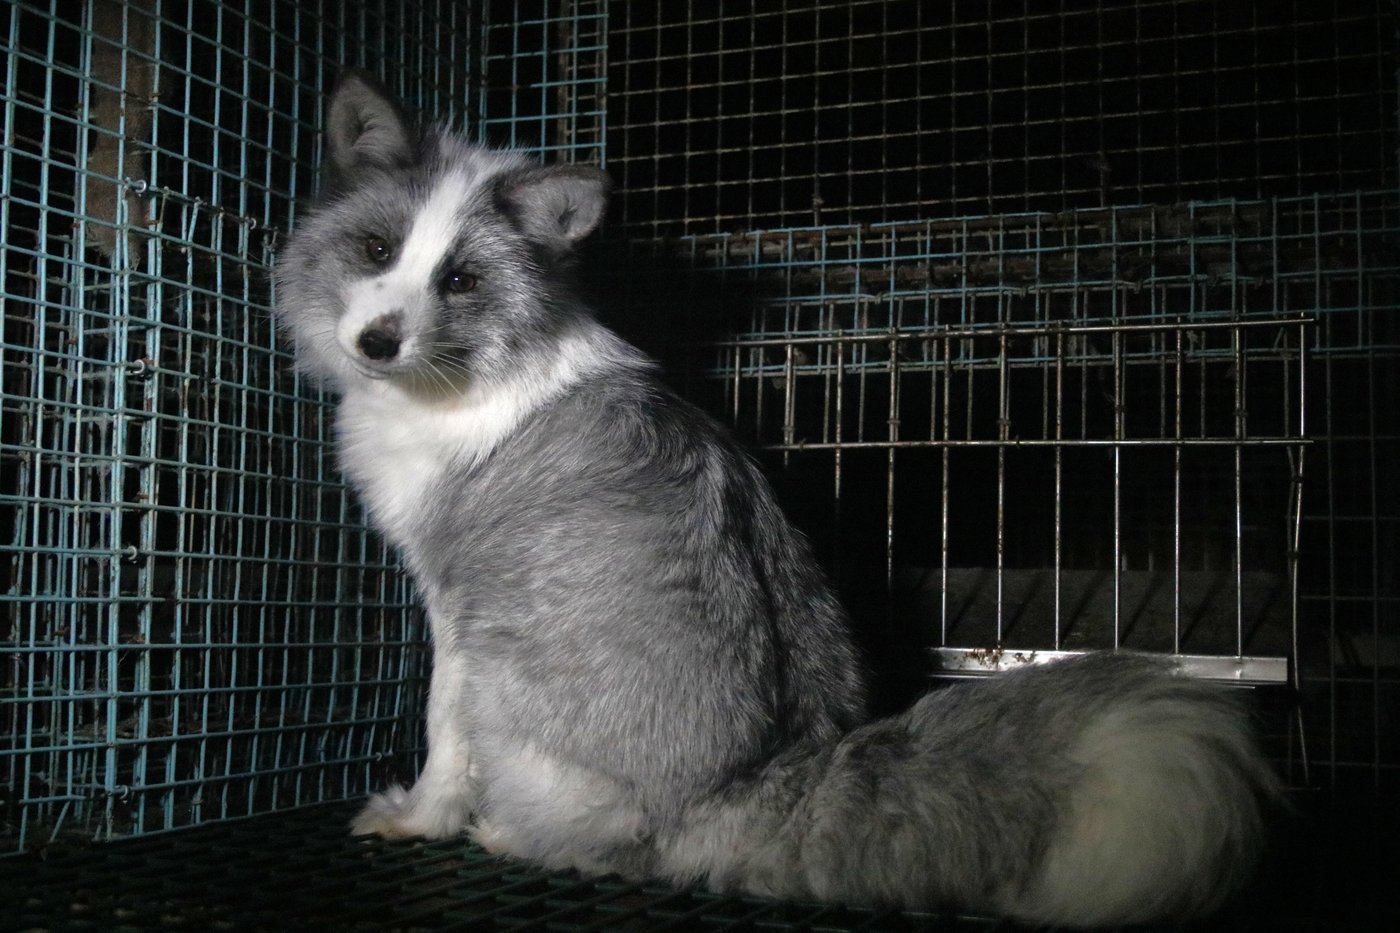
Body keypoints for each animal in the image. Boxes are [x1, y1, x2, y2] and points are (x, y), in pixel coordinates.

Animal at [272, 71, 1278, 927]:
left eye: (461, 280)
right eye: (376, 248)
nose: (376, 341)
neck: (476, 373)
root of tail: (754, 783)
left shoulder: (455, 601)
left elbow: (441, 731)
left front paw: (422, 817)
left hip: (511, 687)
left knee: (610, 846)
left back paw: (512, 834)